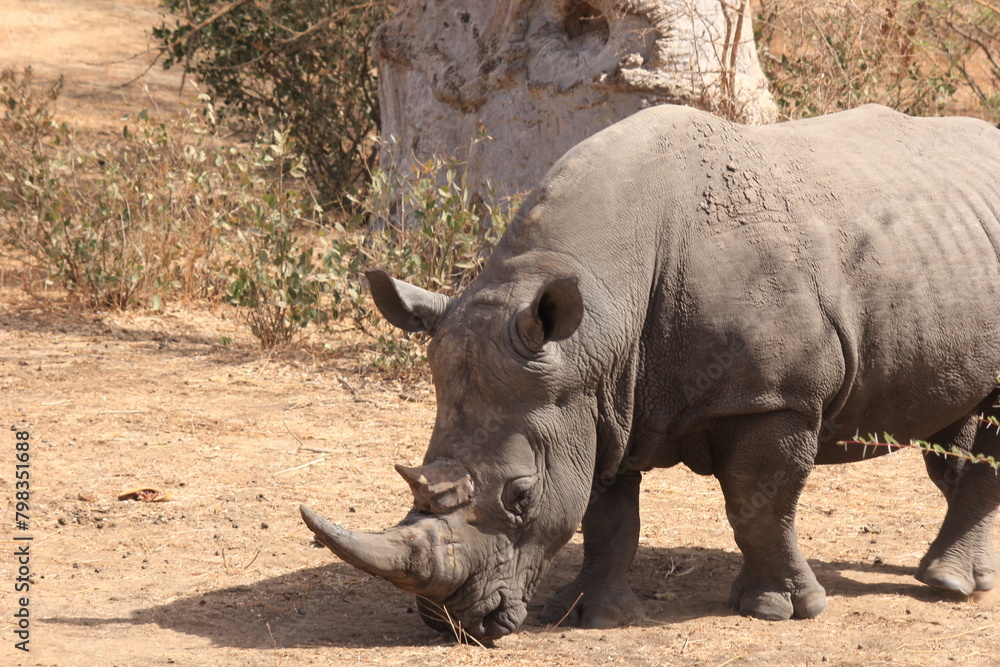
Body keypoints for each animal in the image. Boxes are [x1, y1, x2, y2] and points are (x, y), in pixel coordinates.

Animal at [301, 104, 1000, 641]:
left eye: (520, 495)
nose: (450, 624)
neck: (600, 317)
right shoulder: (593, 396)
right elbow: (605, 517)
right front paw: (589, 616)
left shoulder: (773, 397)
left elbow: (757, 504)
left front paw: (779, 610)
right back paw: (966, 575)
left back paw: (946, 585)